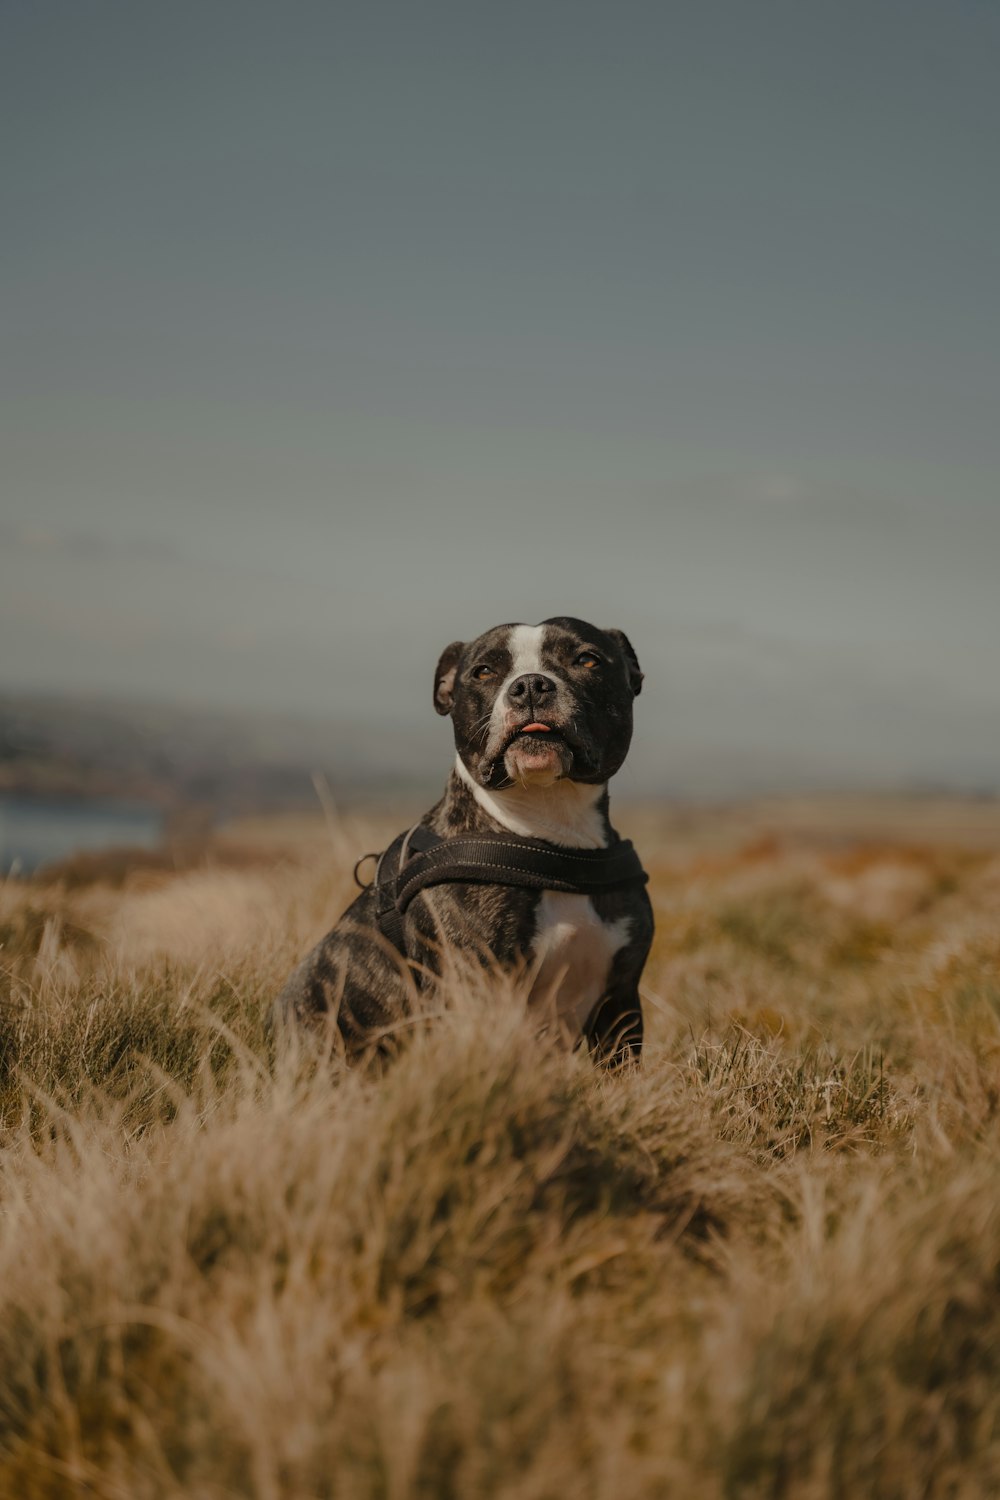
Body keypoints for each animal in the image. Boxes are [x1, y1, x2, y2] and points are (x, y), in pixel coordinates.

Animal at [277, 615, 653, 1062]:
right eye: (484, 671)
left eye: (587, 660)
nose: (530, 685)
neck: (552, 831)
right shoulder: (472, 988)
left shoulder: (621, 1005)